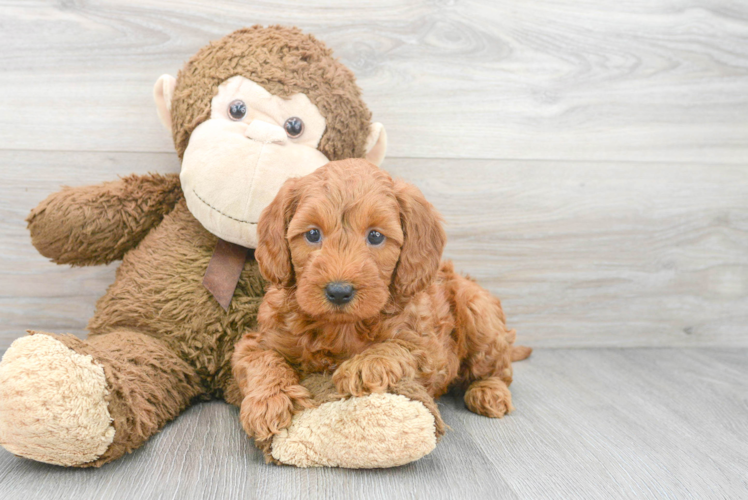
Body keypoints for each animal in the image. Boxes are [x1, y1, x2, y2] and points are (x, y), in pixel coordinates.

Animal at [231, 158, 528, 440]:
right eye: (313, 234)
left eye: (375, 236)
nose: (339, 291)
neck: (341, 328)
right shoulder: (257, 340)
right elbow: (262, 359)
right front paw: (268, 402)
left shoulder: (431, 348)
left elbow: (399, 347)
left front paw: (364, 365)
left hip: (476, 309)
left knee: (499, 369)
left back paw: (489, 391)